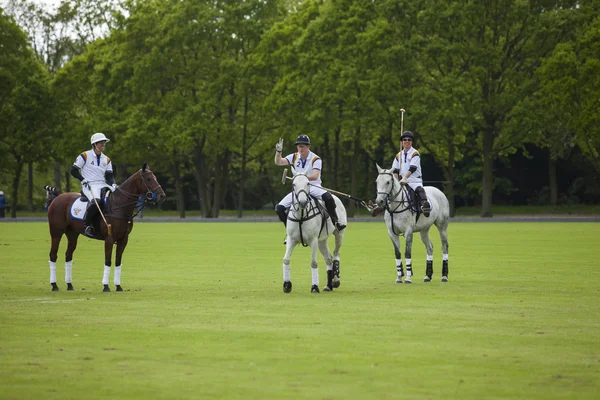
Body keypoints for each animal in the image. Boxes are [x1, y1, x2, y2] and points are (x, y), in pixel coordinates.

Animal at [46, 164, 166, 292]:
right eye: (149, 179)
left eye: (155, 177)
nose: (162, 196)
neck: (120, 206)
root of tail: (57, 197)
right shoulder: (109, 238)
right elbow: (108, 261)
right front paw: (106, 286)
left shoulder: (123, 239)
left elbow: (118, 261)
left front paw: (118, 286)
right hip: (56, 232)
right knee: (53, 254)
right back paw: (54, 285)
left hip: (72, 233)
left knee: (68, 255)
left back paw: (69, 285)